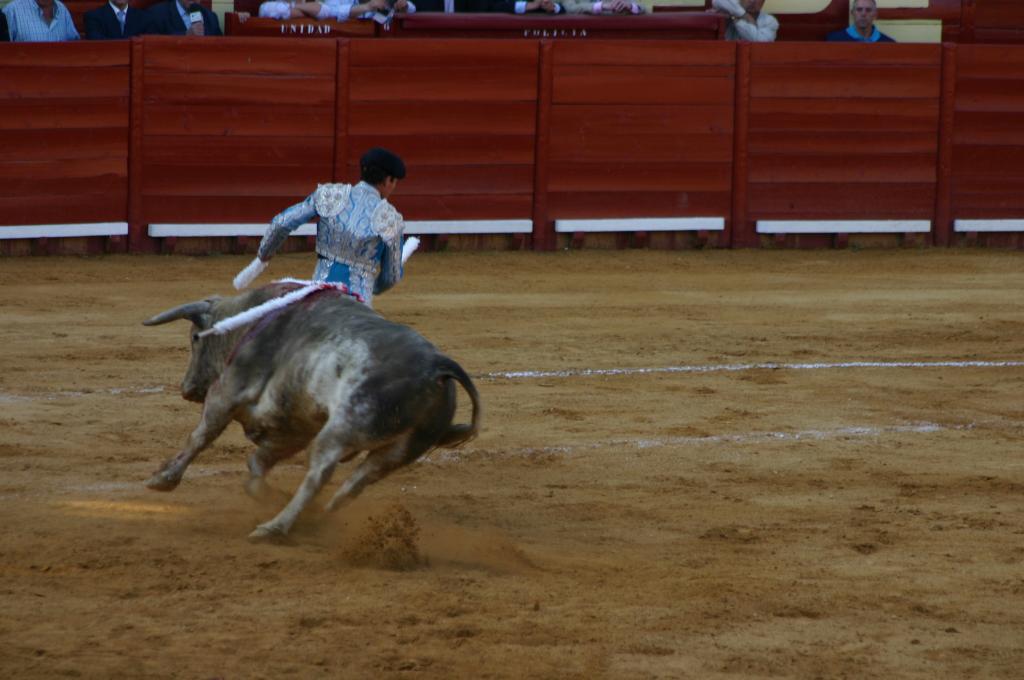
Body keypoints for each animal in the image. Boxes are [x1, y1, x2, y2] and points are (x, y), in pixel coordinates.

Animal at [142, 280, 481, 540]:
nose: (187, 390)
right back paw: (317, 517)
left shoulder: (228, 391)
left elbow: (202, 436)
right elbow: (257, 462)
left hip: (342, 428)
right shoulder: (295, 425)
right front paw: (266, 494)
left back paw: (275, 527)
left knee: (320, 473)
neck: (251, 320)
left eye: (194, 340)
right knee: (355, 484)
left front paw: (163, 479)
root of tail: (439, 366)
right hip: (398, 452)